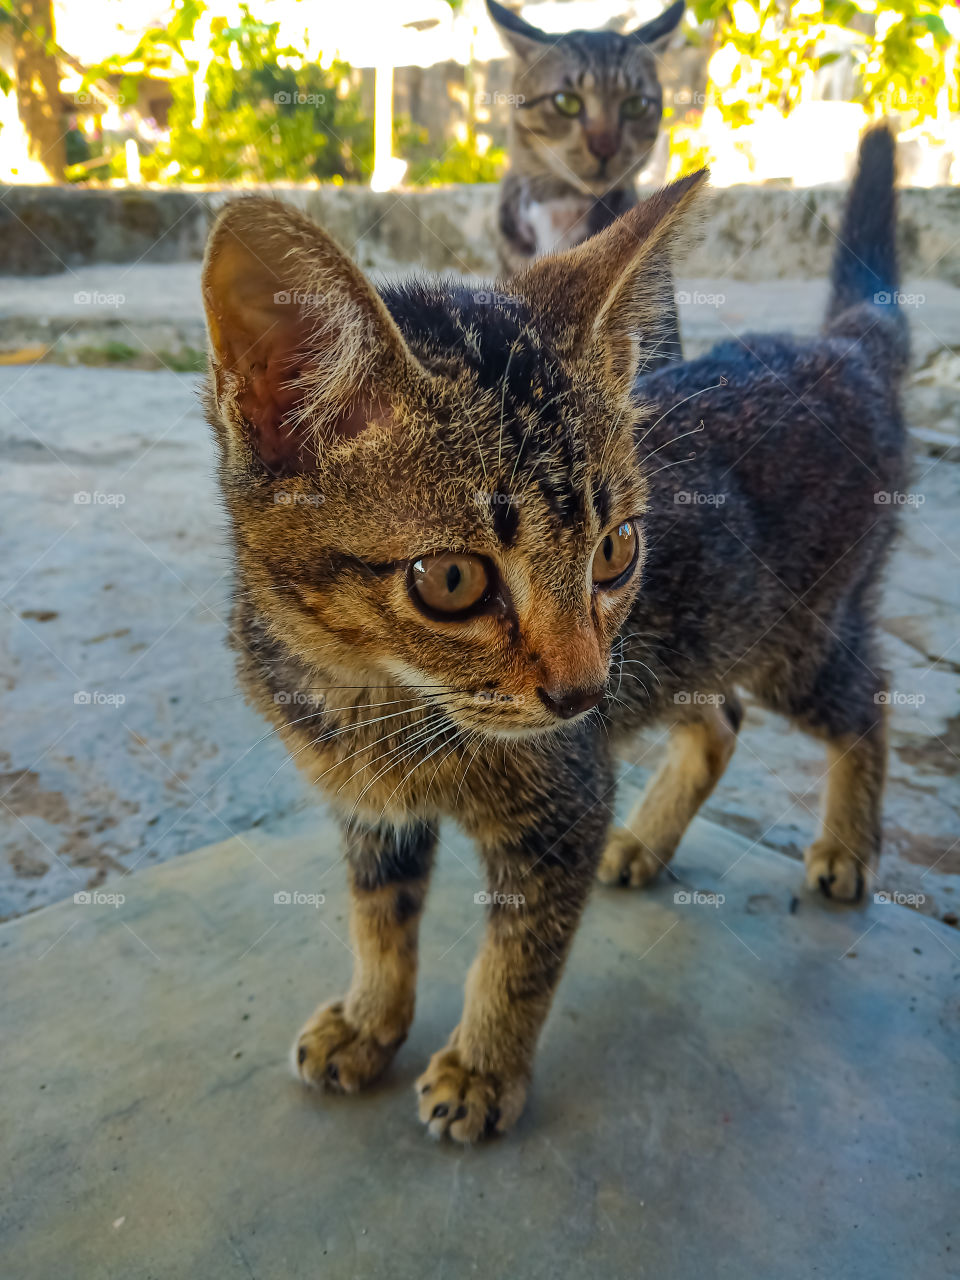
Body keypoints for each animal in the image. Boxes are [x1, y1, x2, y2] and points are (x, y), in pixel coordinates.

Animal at [203, 124, 911, 1141]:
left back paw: (849, 846)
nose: (580, 689)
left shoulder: (563, 801)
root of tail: (842, 351)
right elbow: (380, 914)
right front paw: (371, 1019)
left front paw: (483, 1067)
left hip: (790, 638)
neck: (369, 694)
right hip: (690, 644)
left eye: (616, 551)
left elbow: (519, 956)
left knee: (869, 699)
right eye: (452, 580)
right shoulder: (372, 808)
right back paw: (646, 840)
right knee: (720, 718)